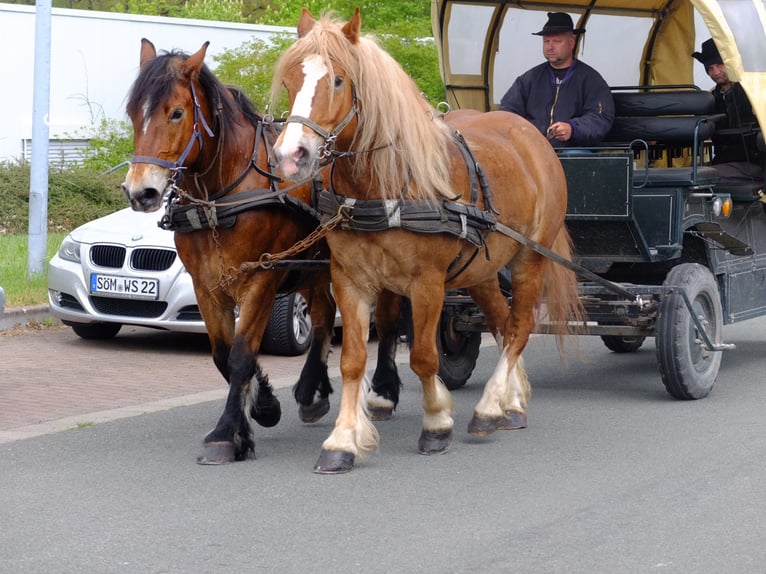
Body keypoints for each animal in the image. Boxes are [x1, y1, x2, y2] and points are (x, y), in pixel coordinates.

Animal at [121, 39, 408, 464]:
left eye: (176, 112)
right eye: (132, 114)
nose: (141, 192)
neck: (219, 199)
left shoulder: (260, 278)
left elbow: (241, 355)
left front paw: (228, 433)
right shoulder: (207, 286)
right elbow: (223, 354)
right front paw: (260, 408)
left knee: (386, 321)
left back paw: (384, 391)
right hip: (313, 266)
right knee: (323, 315)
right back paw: (312, 391)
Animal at [270, 10, 584, 476]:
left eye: (339, 80)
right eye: (291, 79)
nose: (292, 157)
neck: (384, 186)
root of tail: (529, 132)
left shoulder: (427, 284)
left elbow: (422, 356)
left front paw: (436, 422)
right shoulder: (350, 280)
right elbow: (352, 360)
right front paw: (343, 441)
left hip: (530, 256)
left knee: (520, 326)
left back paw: (489, 408)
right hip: (482, 269)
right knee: (502, 322)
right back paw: (509, 403)